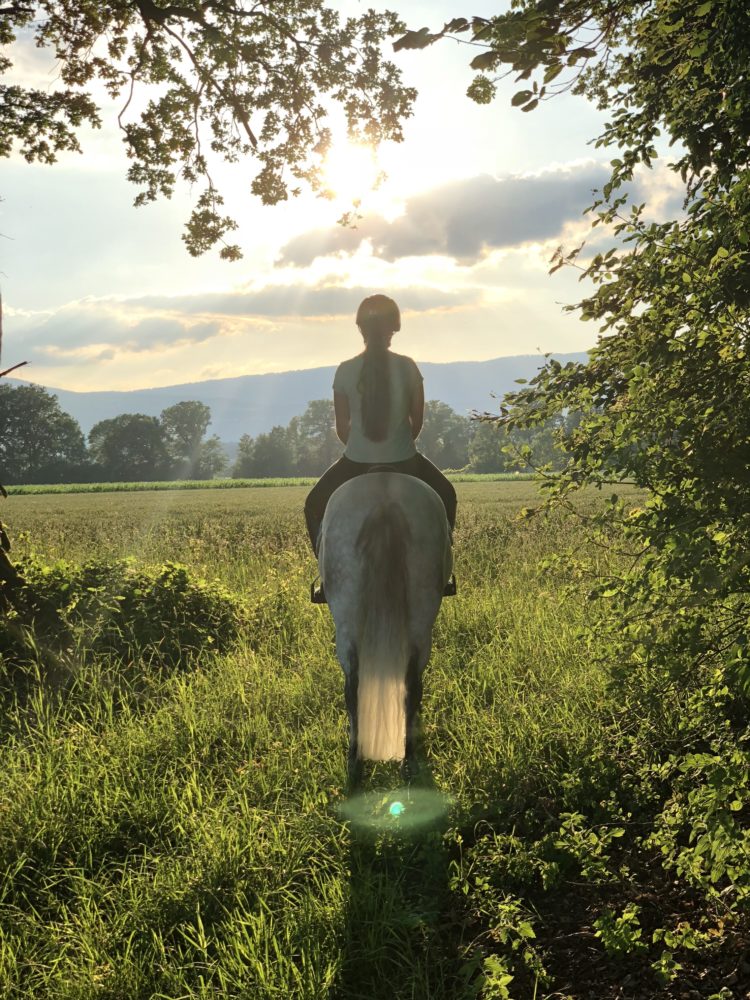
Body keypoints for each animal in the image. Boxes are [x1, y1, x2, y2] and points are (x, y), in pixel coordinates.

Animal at [318, 472, 452, 784]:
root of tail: (384, 501)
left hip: (348, 620)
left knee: (355, 684)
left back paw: (358, 762)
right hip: (420, 618)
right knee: (409, 681)